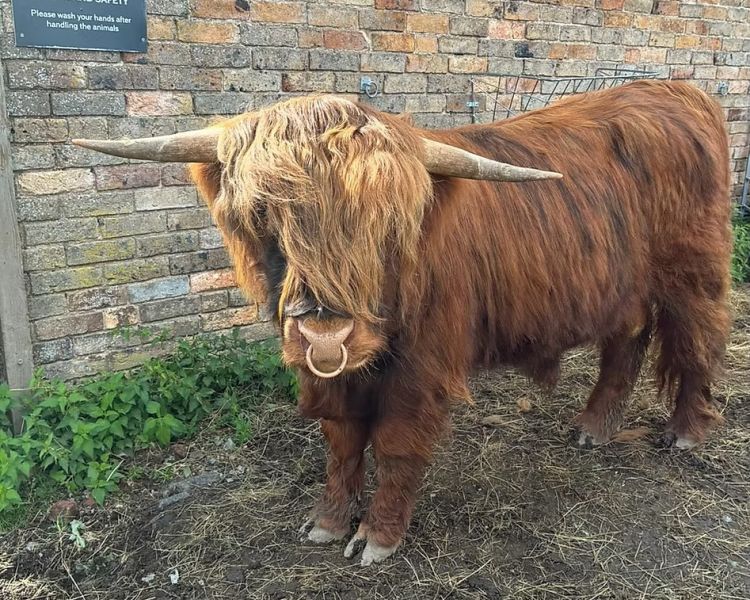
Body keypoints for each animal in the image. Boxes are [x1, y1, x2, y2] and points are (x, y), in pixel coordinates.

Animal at [73, 80, 732, 566]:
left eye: (387, 227)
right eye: (265, 217)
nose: (326, 337)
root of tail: (677, 90)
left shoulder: (422, 370)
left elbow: (393, 445)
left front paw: (378, 537)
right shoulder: (332, 377)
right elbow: (341, 445)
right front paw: (328, 522)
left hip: (693, 273)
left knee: (699, 340)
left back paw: (686, 432)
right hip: (624, 285)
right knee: (628, 339)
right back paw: (593, 428)